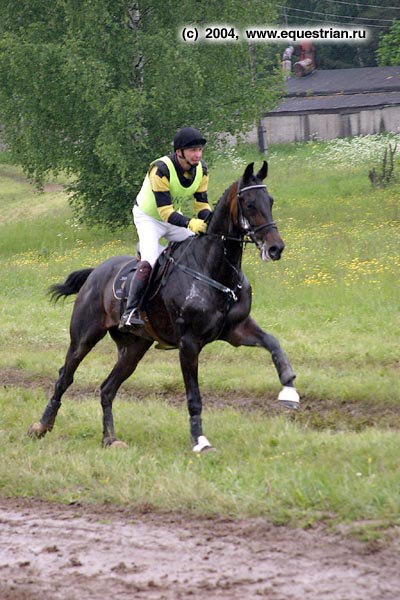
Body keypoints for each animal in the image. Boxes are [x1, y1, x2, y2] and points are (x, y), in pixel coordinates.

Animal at [28, 162, 296, 452]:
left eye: (270, 201)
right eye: (249, 203)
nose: (276, 248)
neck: (216, 271)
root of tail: (95, 272)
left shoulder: (236, 330)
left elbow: (273, 344)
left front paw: (290, 391)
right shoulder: (189, 343)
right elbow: (193, 396)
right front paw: (200, 441)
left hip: (134, 347)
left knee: (108, 388)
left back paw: (110, 438)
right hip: (84, 336)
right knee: (65, 376)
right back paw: (41, 426)